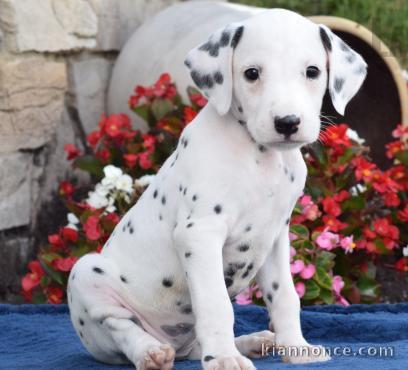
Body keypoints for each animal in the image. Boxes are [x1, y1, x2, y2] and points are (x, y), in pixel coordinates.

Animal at [67, 8, 366, 370]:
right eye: (252, 73)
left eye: (312, 71)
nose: (287, 123)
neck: (259, 157)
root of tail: (174, 343)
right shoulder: (200, 234)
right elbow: (216, 304)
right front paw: (223, 359)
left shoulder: (275, 237)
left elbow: (285, 296)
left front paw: (296, 348)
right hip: (86, 277)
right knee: (120, 326)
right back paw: (152, 352)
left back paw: (254, 342)